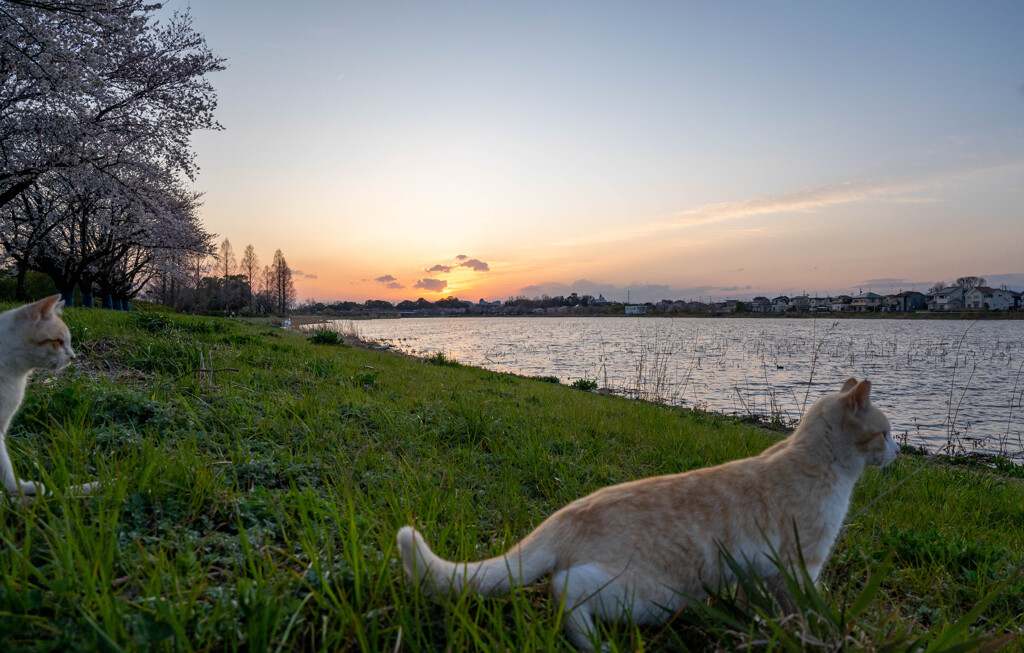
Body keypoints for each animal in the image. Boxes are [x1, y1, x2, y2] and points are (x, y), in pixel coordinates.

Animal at [397, 378, 897, 650]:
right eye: (887, 433)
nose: (896, 451)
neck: (814, 459)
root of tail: (566, 513)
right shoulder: (800, 564)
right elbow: (804, 610)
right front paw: (808, 631)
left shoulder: (767, 572)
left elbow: (764, 607)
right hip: (656, 595)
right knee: (563, 587)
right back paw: (595, 644)